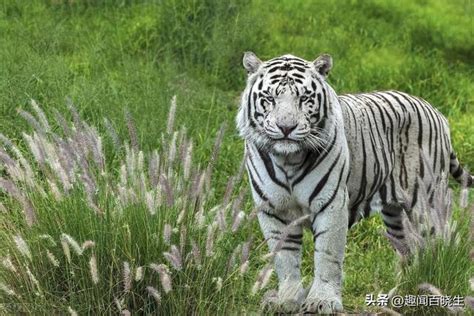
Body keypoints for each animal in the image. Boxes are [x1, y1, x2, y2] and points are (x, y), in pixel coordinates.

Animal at [237, 51, 474, 314]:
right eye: (269, 98)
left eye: (304, 98)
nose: (286, 127)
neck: (288, 159)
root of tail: (436, 111)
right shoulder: (273, 209)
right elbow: (284, 258)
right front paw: (287, 300)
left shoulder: (331, 204)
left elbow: (327, 255)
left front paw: (322, 301)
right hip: (395, 215)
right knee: (410, 249)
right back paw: (405, 291)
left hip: (427, 203)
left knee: (442, 243)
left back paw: (438, 287)